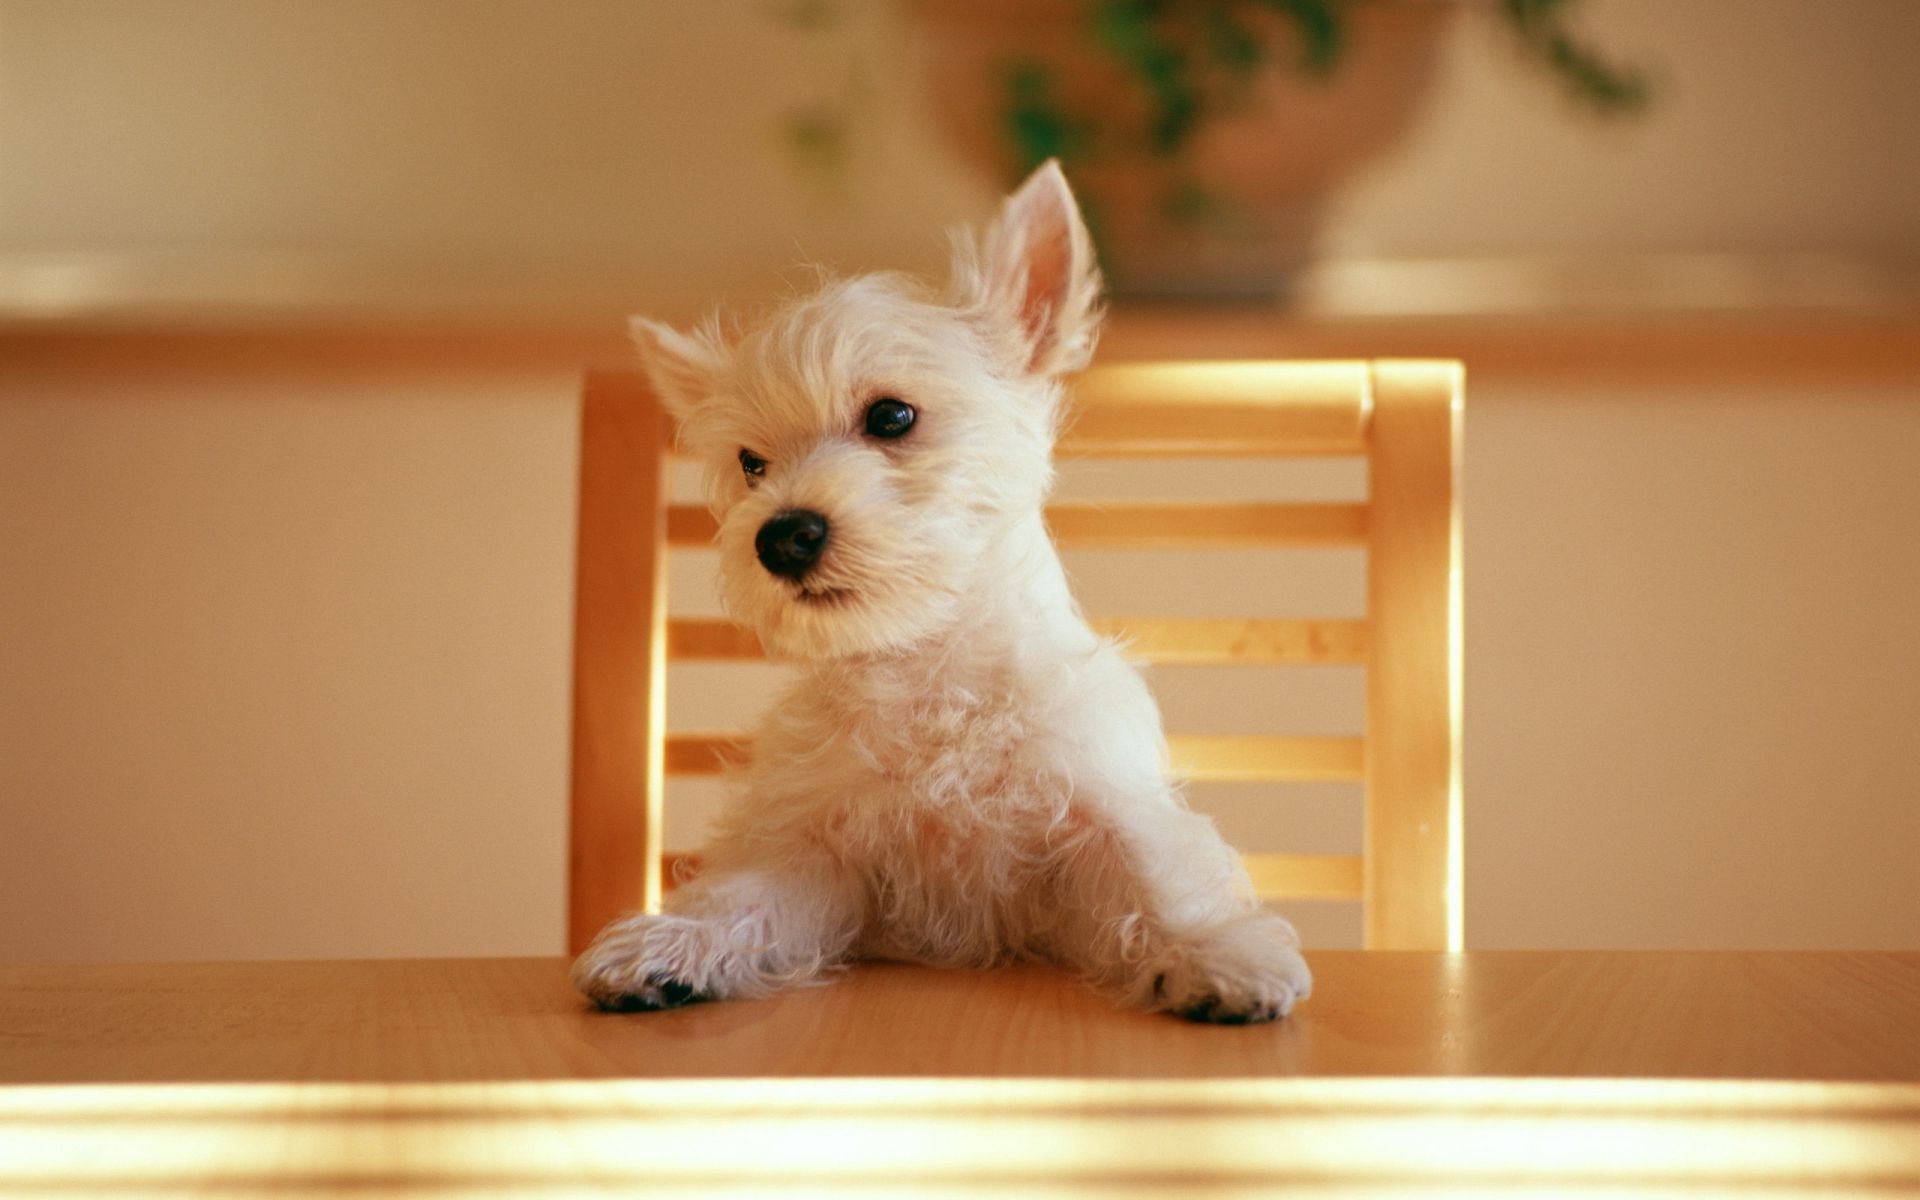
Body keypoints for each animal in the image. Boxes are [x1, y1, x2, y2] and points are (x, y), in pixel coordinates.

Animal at [568, 159, 1313, 1021]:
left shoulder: (1095, 810)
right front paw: (670, 945)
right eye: (752, 463)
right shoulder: (815, 853)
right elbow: (743, 899)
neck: (929, 669)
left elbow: (1157, 876)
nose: (780, 537)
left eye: (892, 416)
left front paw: (1217, 954)